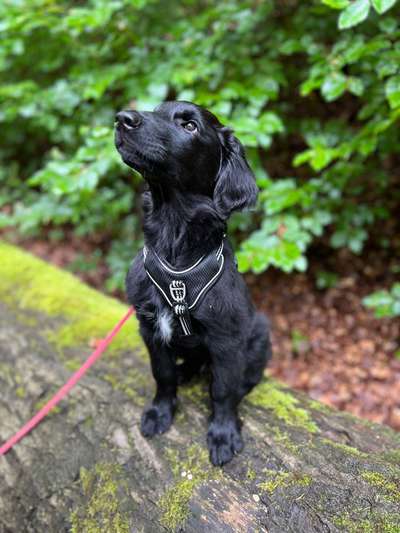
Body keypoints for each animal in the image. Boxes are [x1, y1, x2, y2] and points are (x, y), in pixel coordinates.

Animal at [115, 101, 272, 466]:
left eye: (189, 126)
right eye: (157, 109)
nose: (122, 119)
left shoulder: (228, 339)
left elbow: (224, 390)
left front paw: (224, 434)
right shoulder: (150, 328)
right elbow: (162, 374)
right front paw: (160, 413)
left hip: (260, 331)